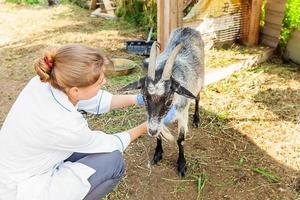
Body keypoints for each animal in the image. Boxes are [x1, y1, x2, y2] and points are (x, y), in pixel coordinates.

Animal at [120, 27, 205, 177]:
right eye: (144, 97)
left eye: (168, 101)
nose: (151, 131)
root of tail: (188, 28)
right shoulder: (153, 118)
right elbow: (159, 134)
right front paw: (158, 154)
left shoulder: (182, 112)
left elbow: (180, 140)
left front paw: (181, 165)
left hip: (199, 83)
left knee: (198, 98)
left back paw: (196, 119)